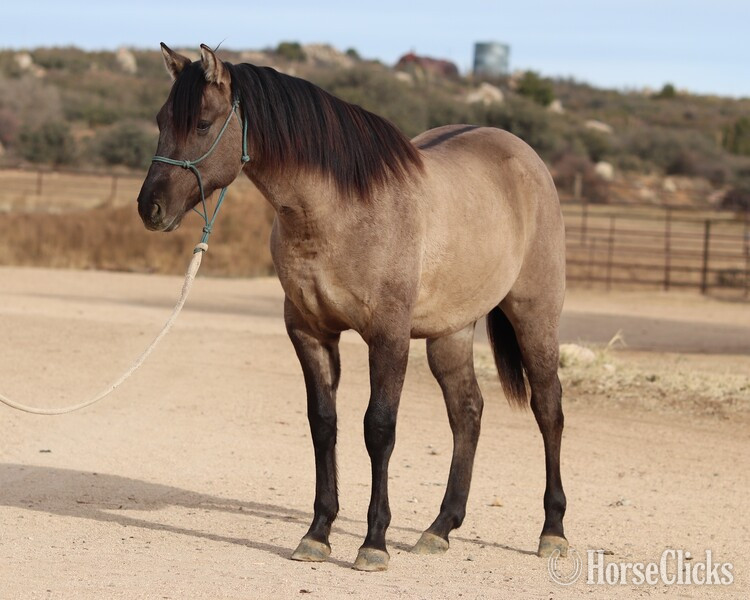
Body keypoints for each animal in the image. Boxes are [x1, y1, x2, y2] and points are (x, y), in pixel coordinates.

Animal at [137, 43, 568, 572]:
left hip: (534, 317)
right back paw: (440, 528)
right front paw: (317, 534)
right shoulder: (310, 333)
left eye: (201, 122)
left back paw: (552, 530)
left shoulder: (388, 337)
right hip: (451, 332)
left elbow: (378, 429)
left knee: (548, 410)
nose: (150, 207)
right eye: (161, 119)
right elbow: (324, 425)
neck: (338, 211)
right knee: (467, 411)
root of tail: (527, 159)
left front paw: (373, 543)